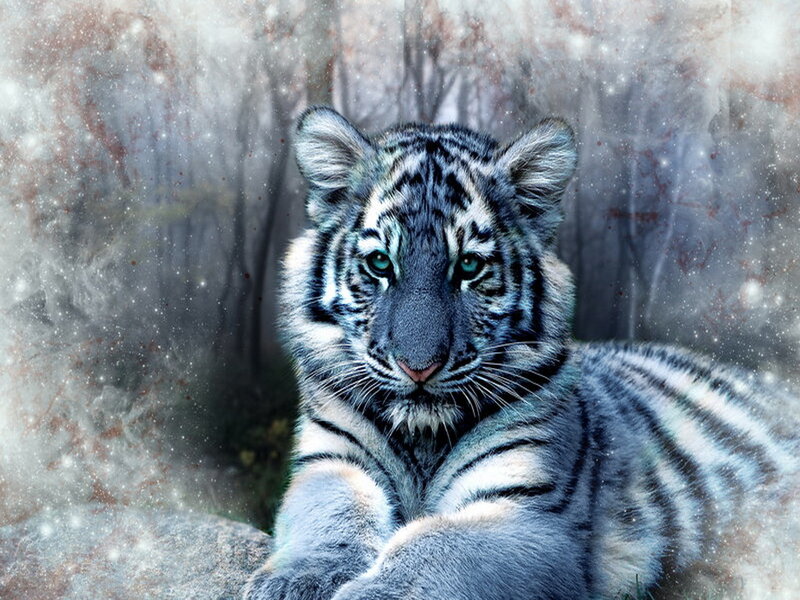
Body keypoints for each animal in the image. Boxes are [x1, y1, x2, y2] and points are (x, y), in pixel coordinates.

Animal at [243, 106, 800, 600]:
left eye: (469, 267)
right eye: (380, 263)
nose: (418, 367)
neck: (424, 438)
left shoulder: (530, 516)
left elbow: (436, 545)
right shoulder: (331, 462)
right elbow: (332, 514)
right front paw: (296, 581)